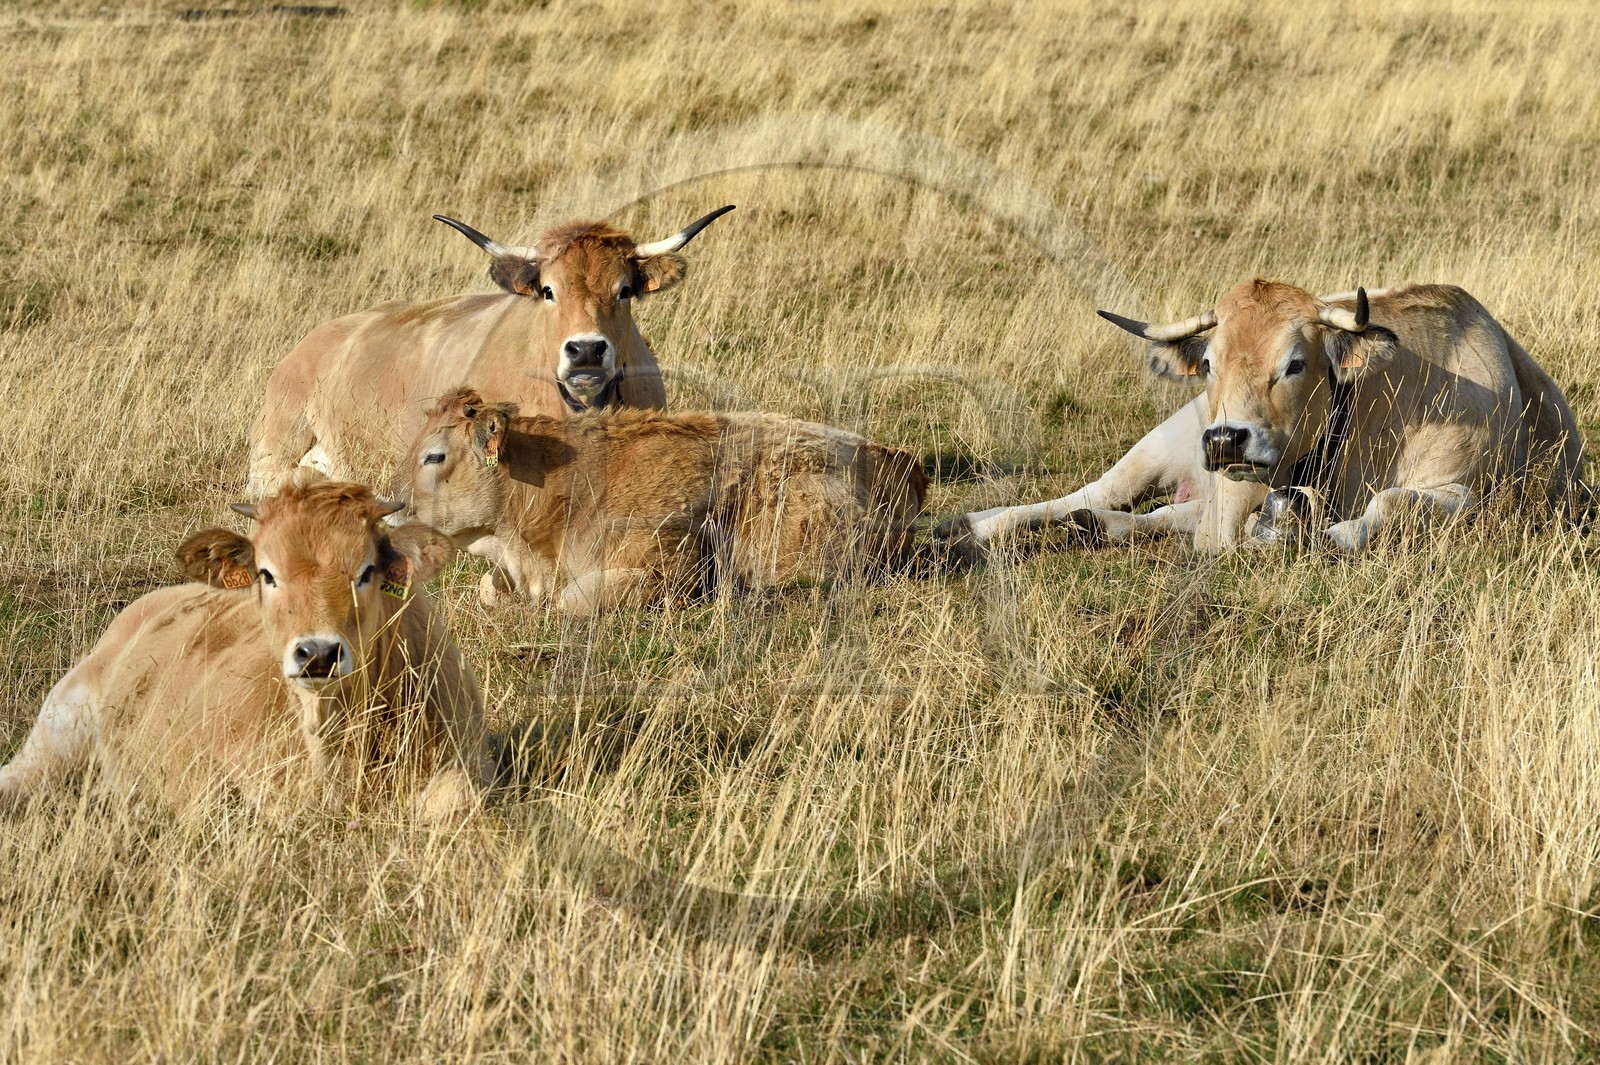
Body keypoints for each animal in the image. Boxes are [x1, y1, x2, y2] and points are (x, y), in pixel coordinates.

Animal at [402, 388, 928, 613]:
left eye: (434, 455)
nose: (397, 507)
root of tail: (893, 455)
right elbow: (489, 589)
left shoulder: (670, 560)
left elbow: (572, 600)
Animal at [940, 281, 1583, 555]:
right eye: (1208, 362)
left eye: (1294, 362)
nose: (1226, 438)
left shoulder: (1463, 493)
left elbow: (1392, 504)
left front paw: (1335, 533)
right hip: (1157, 452)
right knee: (1086, 496)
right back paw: (973, 524)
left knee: (1146, 519)